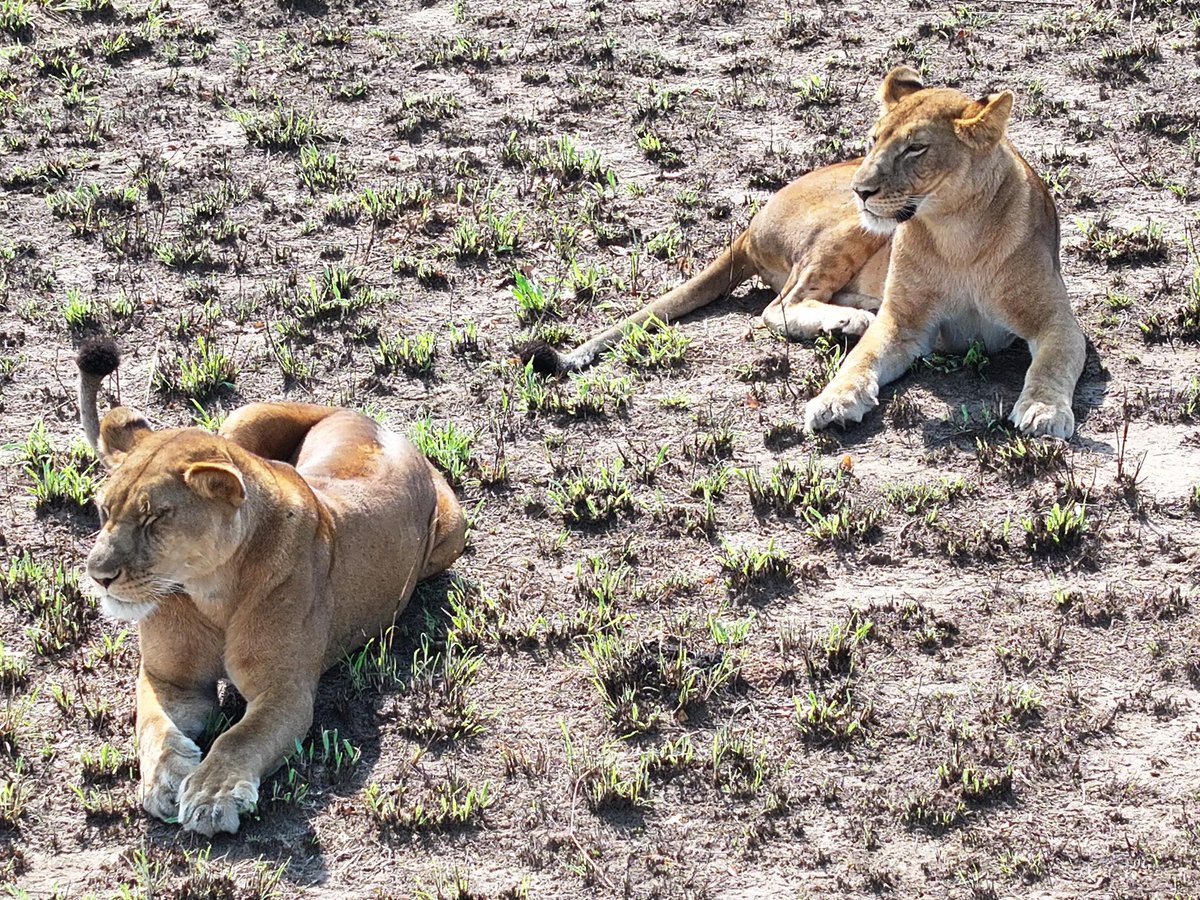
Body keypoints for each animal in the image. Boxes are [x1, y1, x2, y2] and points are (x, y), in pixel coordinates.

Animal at [75, 338, 466, 836]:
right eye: (104, 509)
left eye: (155, 518)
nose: (98, 574)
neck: (211, 591)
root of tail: (375, 422)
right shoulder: (170, 678)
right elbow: (153, 725)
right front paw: (164, 778)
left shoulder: (286, 693)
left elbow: (239, 739)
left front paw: (213, 795)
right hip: (242, 418)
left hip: (453, 532)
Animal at [522, 66, 1085, 439]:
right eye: (874, 139)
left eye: (915, 149)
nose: (862, 190)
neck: (955, 233)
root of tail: (748, 226)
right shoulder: (903, 322)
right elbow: (861, 361)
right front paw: (834, 400)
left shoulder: (1059, 322)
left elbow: (1052, 364)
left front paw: (1042, 412)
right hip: (848, 229)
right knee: (781, 306)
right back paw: (846, 322)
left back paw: (849, 314)